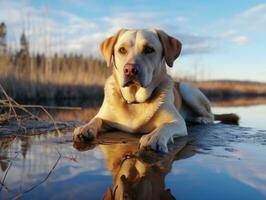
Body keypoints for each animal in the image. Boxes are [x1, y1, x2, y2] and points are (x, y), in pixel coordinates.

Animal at [72, 28, 239, 152]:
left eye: (149, 49)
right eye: (121, 50)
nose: (130, 70)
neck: (135, 101)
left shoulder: (177, 122)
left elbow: (165, 126)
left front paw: (154, 137)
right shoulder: (105, 117)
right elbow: (97, 119)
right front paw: (85, 128)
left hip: (187, 88)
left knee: (210, 115)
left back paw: (201, 119)